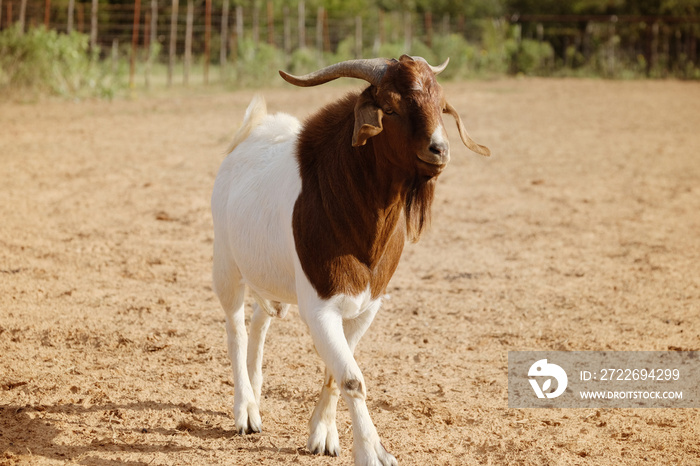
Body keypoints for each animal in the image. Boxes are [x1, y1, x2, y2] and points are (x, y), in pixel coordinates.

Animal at [211, 55, 490, 466]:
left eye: (441, 105)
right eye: (391, 107)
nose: (439, 149)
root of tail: (252, 130)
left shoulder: (367, 305)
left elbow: (336, 371)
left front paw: (323, 434)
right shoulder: (320, 307)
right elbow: (353, 378)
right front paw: (373, 453)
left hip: (272, 275)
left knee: (261, 319)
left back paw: (257, 393)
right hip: (226, 265)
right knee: (236, 326)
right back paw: (245, 410)